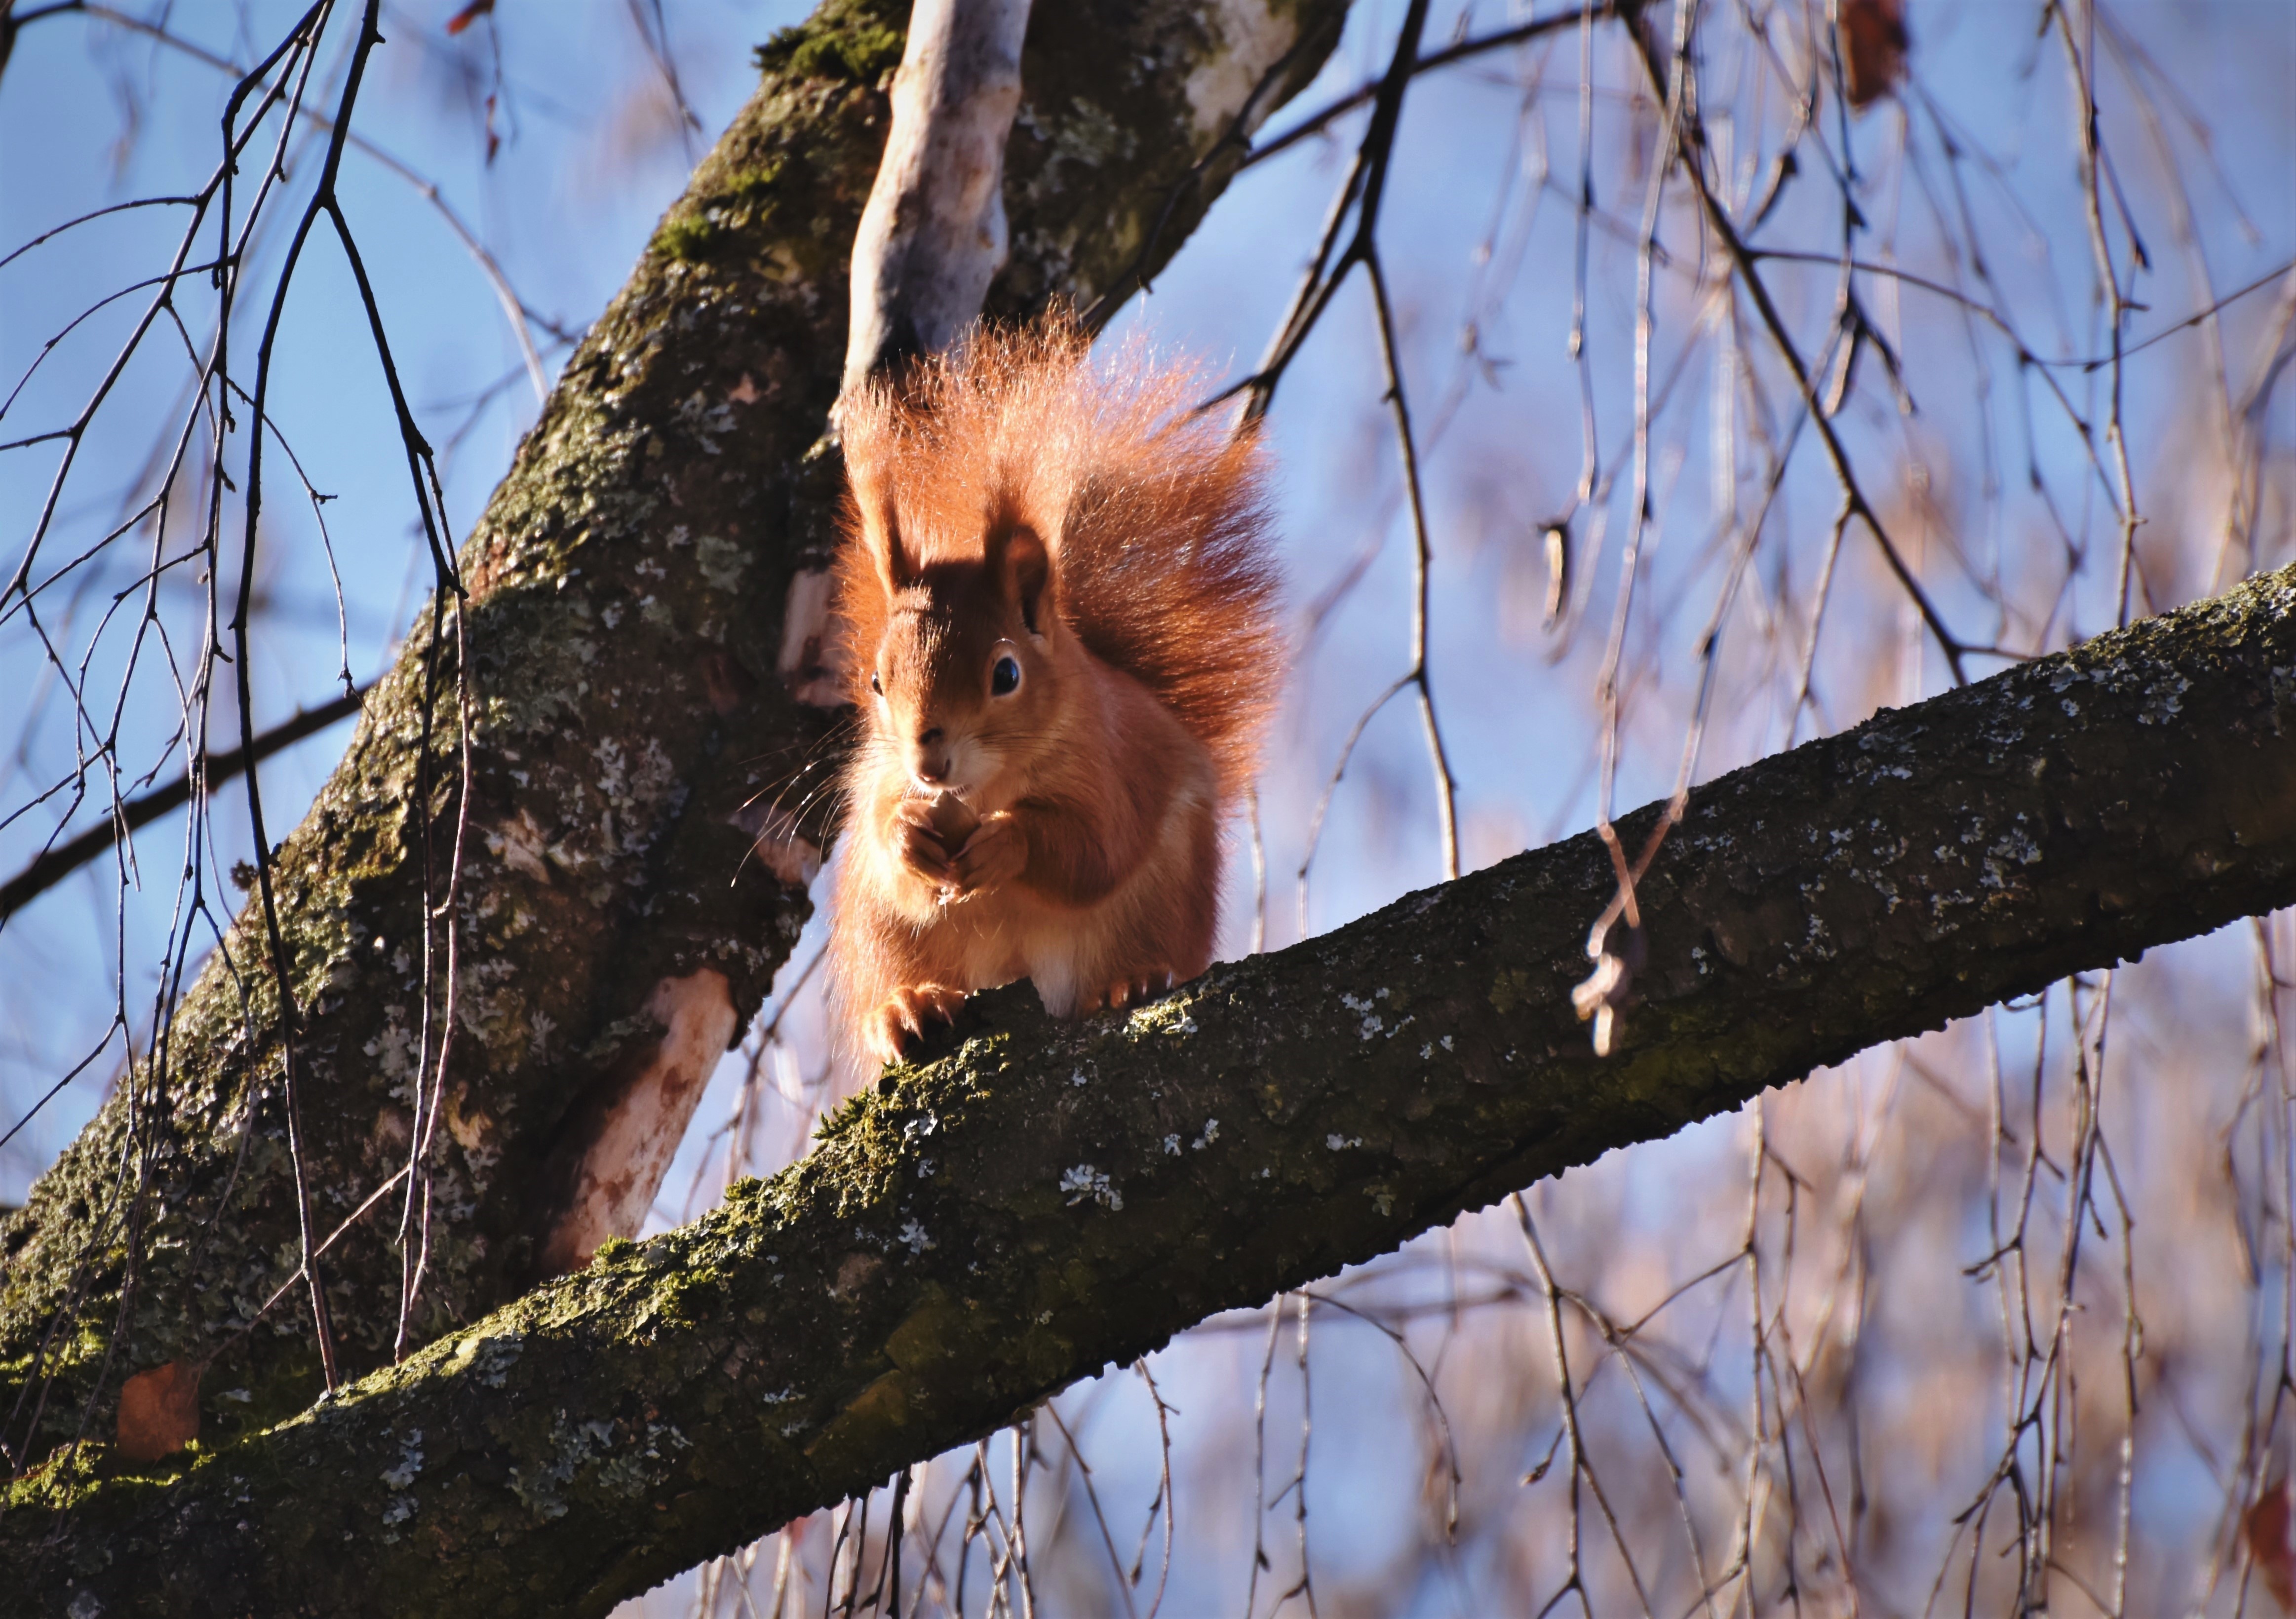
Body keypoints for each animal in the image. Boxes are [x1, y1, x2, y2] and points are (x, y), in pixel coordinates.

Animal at [826, 318, 1281, 1067]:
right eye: (875, 681)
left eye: (1005, 675)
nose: (929, 761)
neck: (982, 789)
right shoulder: (878, 781)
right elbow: (888, 841)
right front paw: (907, 834)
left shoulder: (1111, 763)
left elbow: (1093, 849)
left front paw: (1007, 845)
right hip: (876, 929)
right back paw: (905, 1006)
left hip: (1165, 896)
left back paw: (1130, 981)